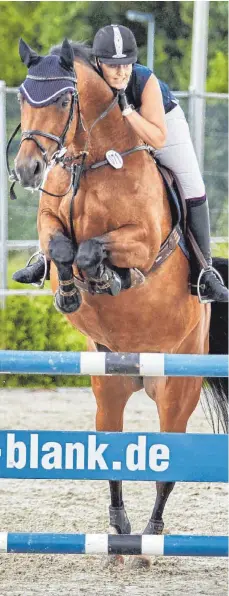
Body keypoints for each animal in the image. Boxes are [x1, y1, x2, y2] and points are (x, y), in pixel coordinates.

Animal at [12, 38, 227, 564]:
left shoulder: (144, 240)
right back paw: (118, 533)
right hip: (107, 388)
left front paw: (108, 275)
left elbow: (95, 249)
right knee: (110, 455)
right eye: (24, 97)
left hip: (177, 392)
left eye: (63, 101)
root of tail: (142, 376)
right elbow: (60, 248)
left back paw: (150, 539)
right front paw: (70, 291)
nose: (27, 170)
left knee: (168, 467)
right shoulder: (50, 221)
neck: (93, 161)